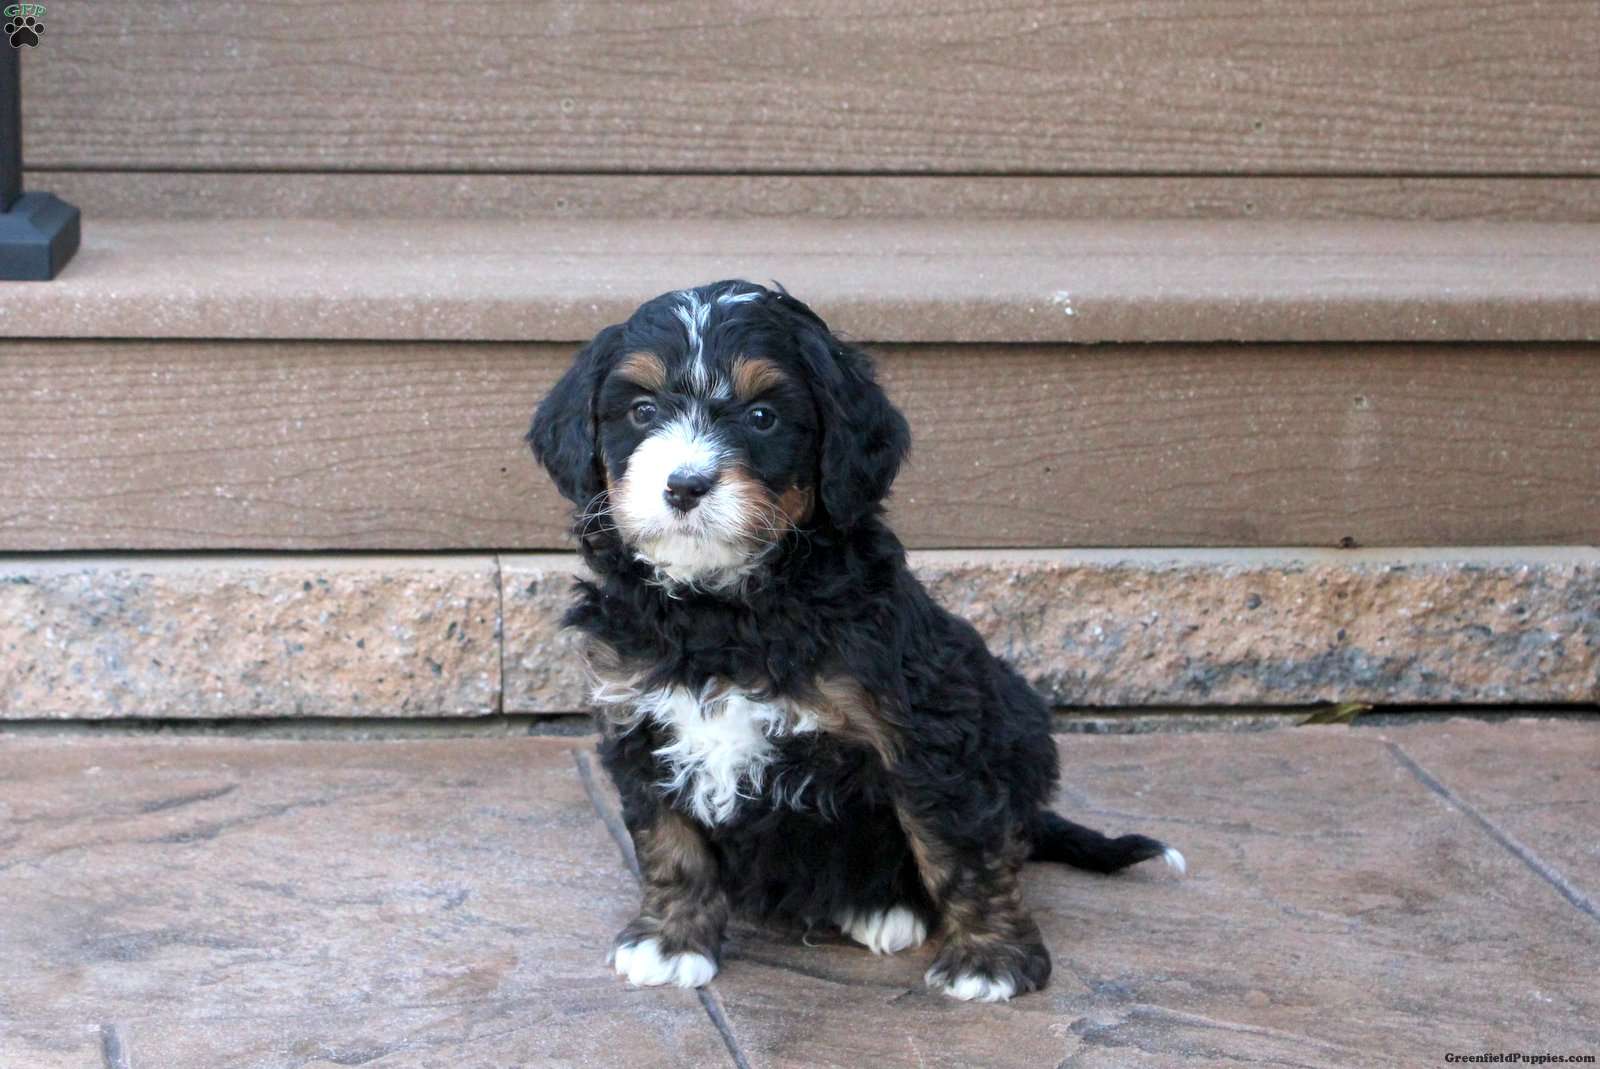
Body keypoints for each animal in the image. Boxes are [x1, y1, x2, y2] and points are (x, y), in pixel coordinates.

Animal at [527, 280, 1183, 1002]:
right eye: (641, 411)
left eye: (762, 417)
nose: (685, 485)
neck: (720, 609)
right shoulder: (636, 711)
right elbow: (668, 842)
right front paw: (670, 941)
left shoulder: (923, 727)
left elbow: (960, 845)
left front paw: (992, 959)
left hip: (1014, 715)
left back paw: (886, 906)